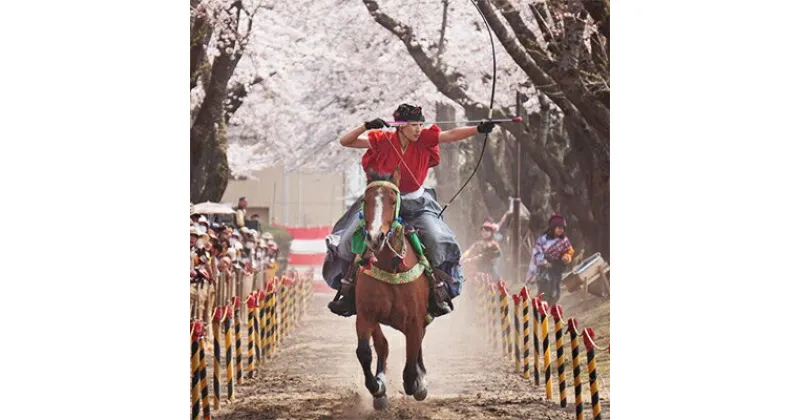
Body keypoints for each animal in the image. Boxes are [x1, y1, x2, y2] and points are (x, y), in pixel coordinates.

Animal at [352, 170, 432, 410]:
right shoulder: (366, 315)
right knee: (383, 346)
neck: (391, 265)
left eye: (393, 200)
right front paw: (377, 388)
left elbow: (411, 364)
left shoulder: (414, 320)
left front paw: (418, 385)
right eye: (365, 200)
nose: (374, 237)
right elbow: (365, 352)